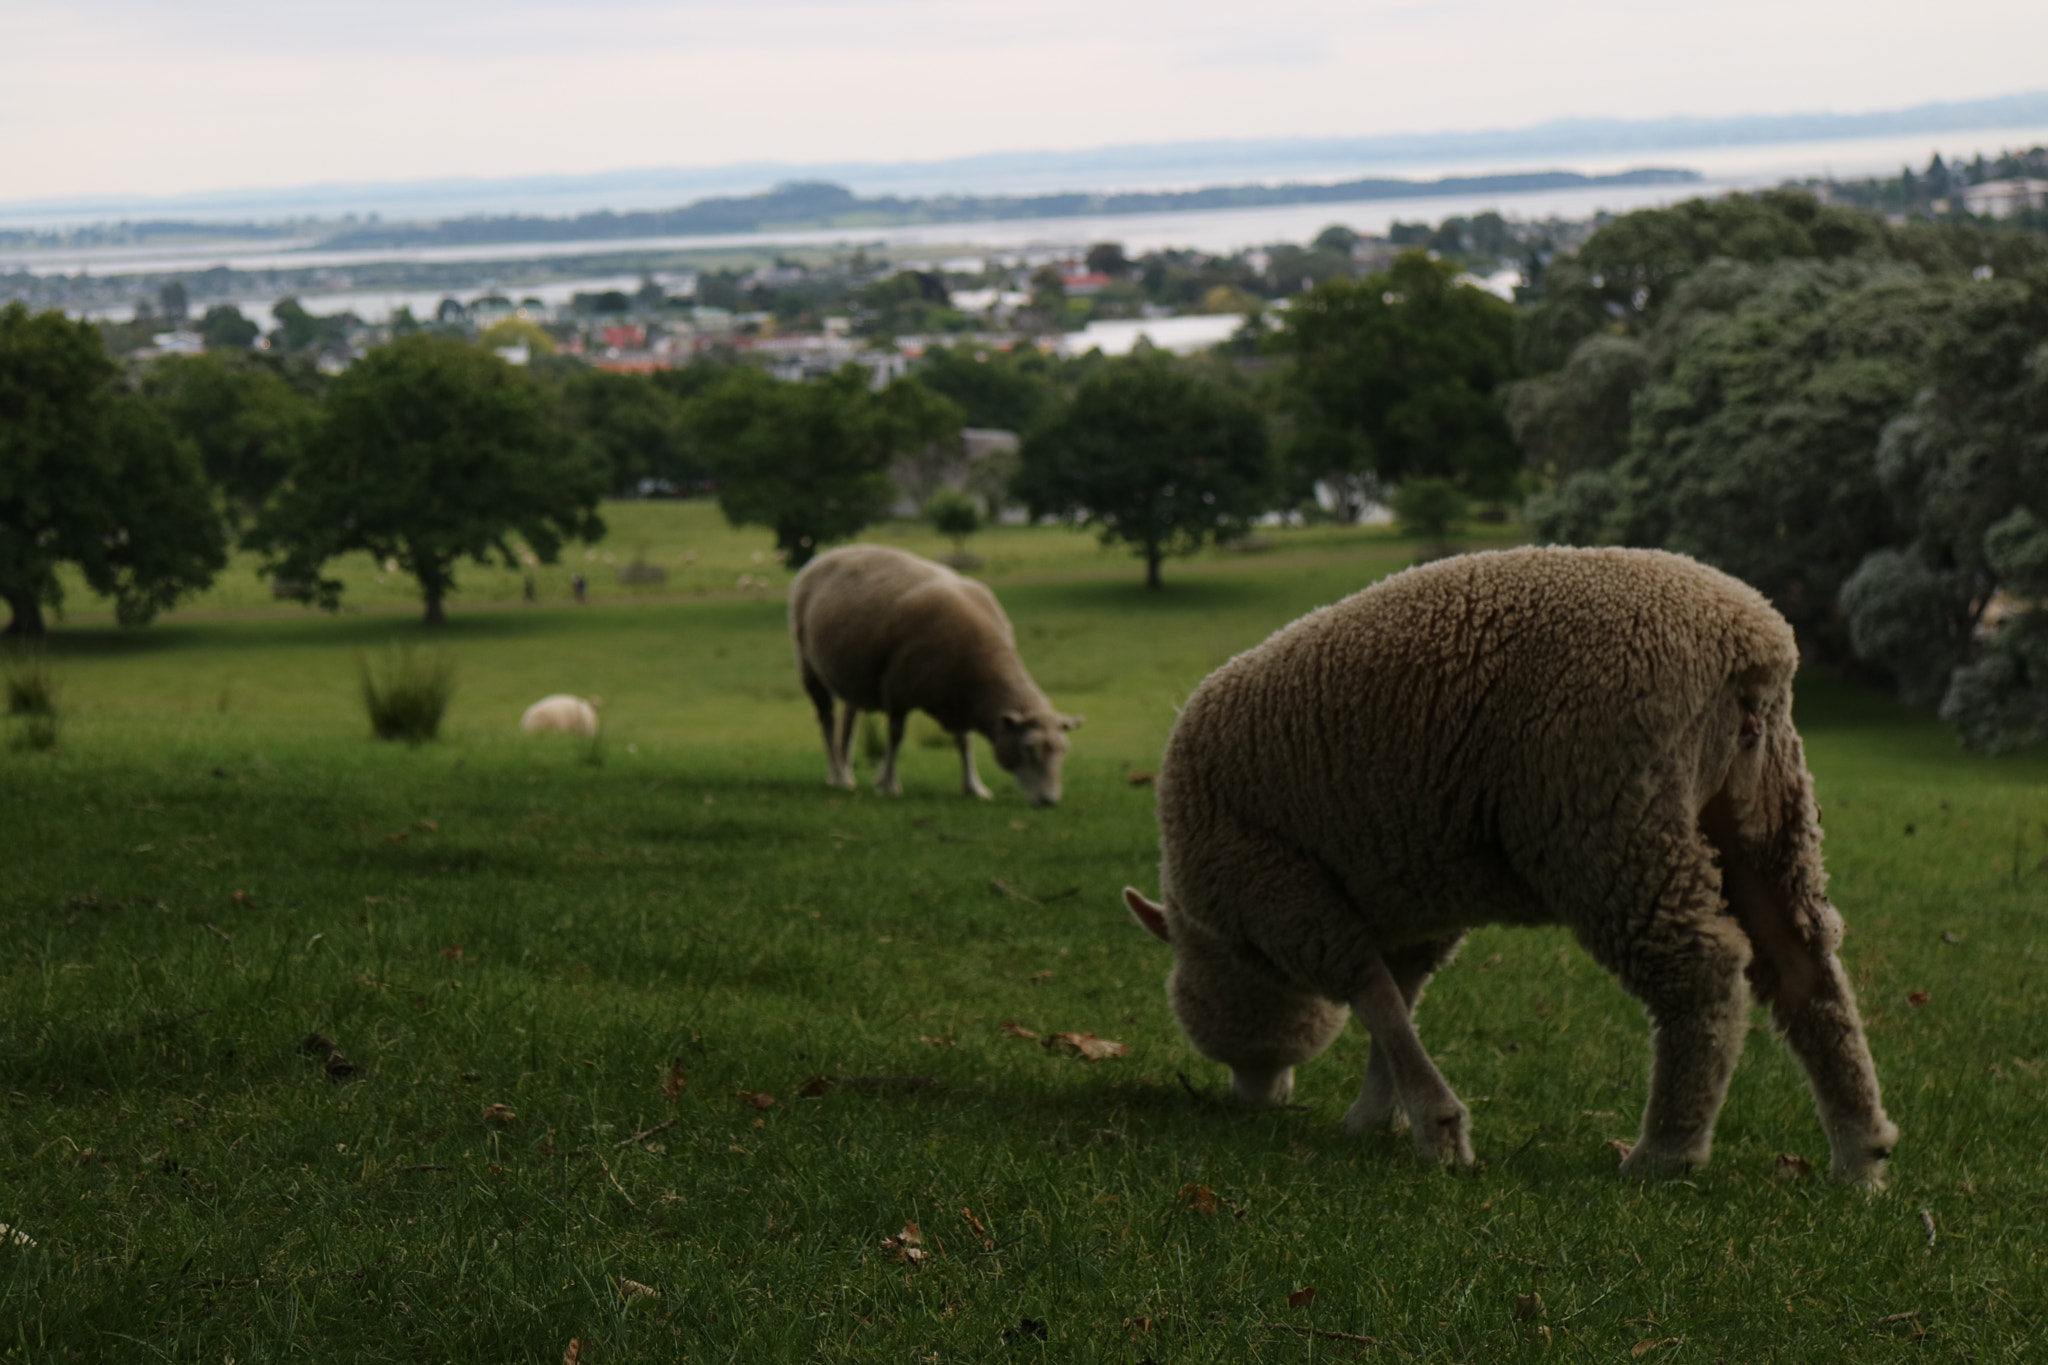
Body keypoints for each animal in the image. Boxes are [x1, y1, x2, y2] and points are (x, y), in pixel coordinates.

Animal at [790, 544, 1081, 805]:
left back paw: (846, 773)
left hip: (854, 675)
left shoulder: (959, 699)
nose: (1049, 801)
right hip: (809, 665)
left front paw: (973, 787)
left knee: (850, 719)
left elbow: (964, 741)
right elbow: (895, 736)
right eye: (1028, 748)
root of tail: (828, 554)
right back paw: (838, 775)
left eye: (1063, 750)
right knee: (826, 719)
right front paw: (888, 783)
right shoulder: (897, 688)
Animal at [1122, 546, 1898, 1184]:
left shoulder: (1284, 893)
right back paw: (1859, 1152)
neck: (1223, 934)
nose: (1253, 1102)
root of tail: (1751, 643)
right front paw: (1380, 1113)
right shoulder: (1414, 901)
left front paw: (1436, 1129)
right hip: (1763, 812)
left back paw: (1666, 1150)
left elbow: (1373, 996)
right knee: (1802, 966)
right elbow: (1399, 996)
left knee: (1700, 971)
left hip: (1608, 822)